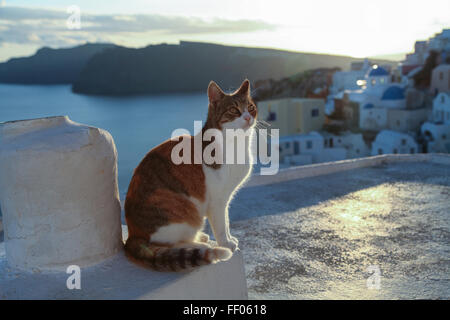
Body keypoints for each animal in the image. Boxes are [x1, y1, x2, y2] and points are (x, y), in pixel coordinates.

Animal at [123, 79, 256, 270]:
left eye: (251, 107)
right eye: (234, 109)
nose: (247, 117)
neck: (235, 145)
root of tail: (132, 236)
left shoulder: (226, 197)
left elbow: (226, 221)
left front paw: (229, 238)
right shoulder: (217, 200)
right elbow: (221, 224)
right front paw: (225, 243)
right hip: (185, 210)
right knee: (170, 244)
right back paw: (202, 246)